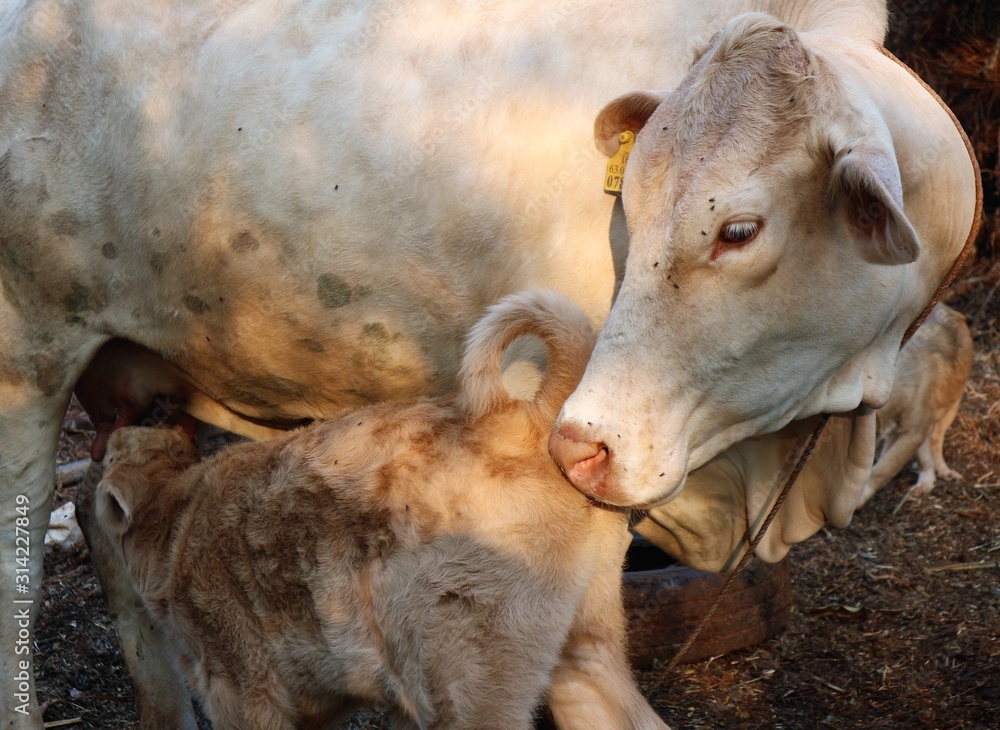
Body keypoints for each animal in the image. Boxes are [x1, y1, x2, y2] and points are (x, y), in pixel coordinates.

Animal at [0, 0, 977, 727]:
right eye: (629, 202)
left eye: (738, 228)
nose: (584, 445)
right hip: (25, 366)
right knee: (23, 564)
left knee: (109, 527)